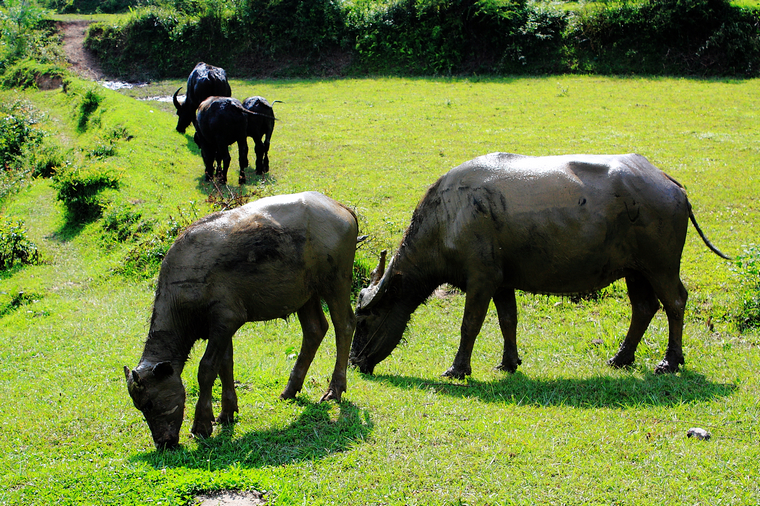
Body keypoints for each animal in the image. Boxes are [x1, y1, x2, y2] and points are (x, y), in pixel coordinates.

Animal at [124, 192, 360, 448]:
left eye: (150, 403)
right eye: (139, 407)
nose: (163, 443)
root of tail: (340, 206)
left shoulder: (226, 320)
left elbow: (207, 369)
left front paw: (202, 424)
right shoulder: (221, 327)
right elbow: (225, 365)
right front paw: (226, 412)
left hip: (336, 281)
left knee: (344, 325)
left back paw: (335, 389)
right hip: (305, 293)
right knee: (315, 329)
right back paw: (290, 389)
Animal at [350, 153, 732, 380]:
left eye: (365, 320)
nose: (354, 361)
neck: (448, 217)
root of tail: (671, 183)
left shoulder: (481, 279)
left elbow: (470, 325)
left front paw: (458, 369)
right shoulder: (502, 281)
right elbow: (508, 321)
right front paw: (509, 362)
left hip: (660, 266)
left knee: (675, 302)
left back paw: (669, 361)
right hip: (635, 270)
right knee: (644, 307)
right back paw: (621, 358)